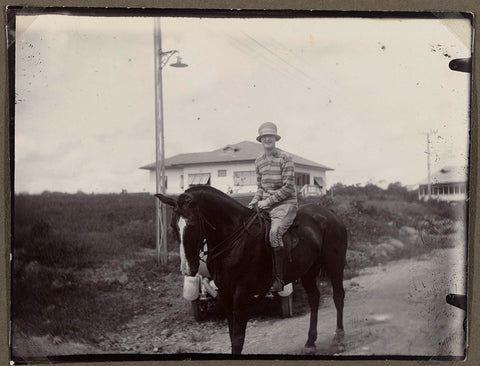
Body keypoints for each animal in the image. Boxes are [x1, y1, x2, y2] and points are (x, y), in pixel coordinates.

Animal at [156, 186, 346, 354]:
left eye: (193, 225)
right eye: (173, 226)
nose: (187, 269)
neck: (233, 238)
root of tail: (330, 214)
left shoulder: (241, 293)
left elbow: (238, 337)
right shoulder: (225, 292)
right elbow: (232, 333)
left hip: (335, 265)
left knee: (338, 296)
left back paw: (339, 339)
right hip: (308, 270)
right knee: (314, 298)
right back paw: (310, 343)